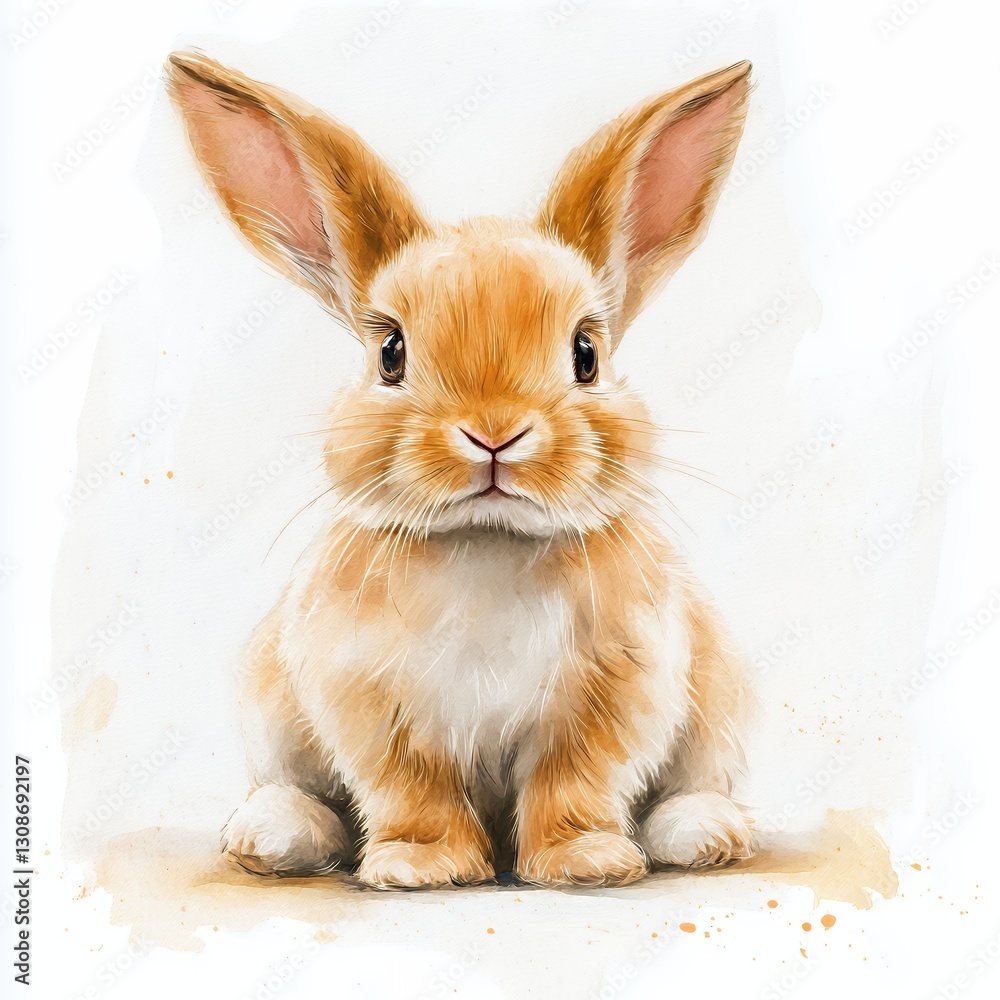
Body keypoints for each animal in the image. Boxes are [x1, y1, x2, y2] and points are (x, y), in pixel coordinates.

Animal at [166, 50, 756, 888]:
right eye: (391, 353)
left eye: (586, 354)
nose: (494, 433)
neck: (488, 540)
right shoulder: (372, 708)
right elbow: (414, 791)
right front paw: (422, 867)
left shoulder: (614, 697)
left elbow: (574, 784)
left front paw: (585, 862)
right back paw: (273, 835)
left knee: (696, 784)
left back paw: (704, 835)